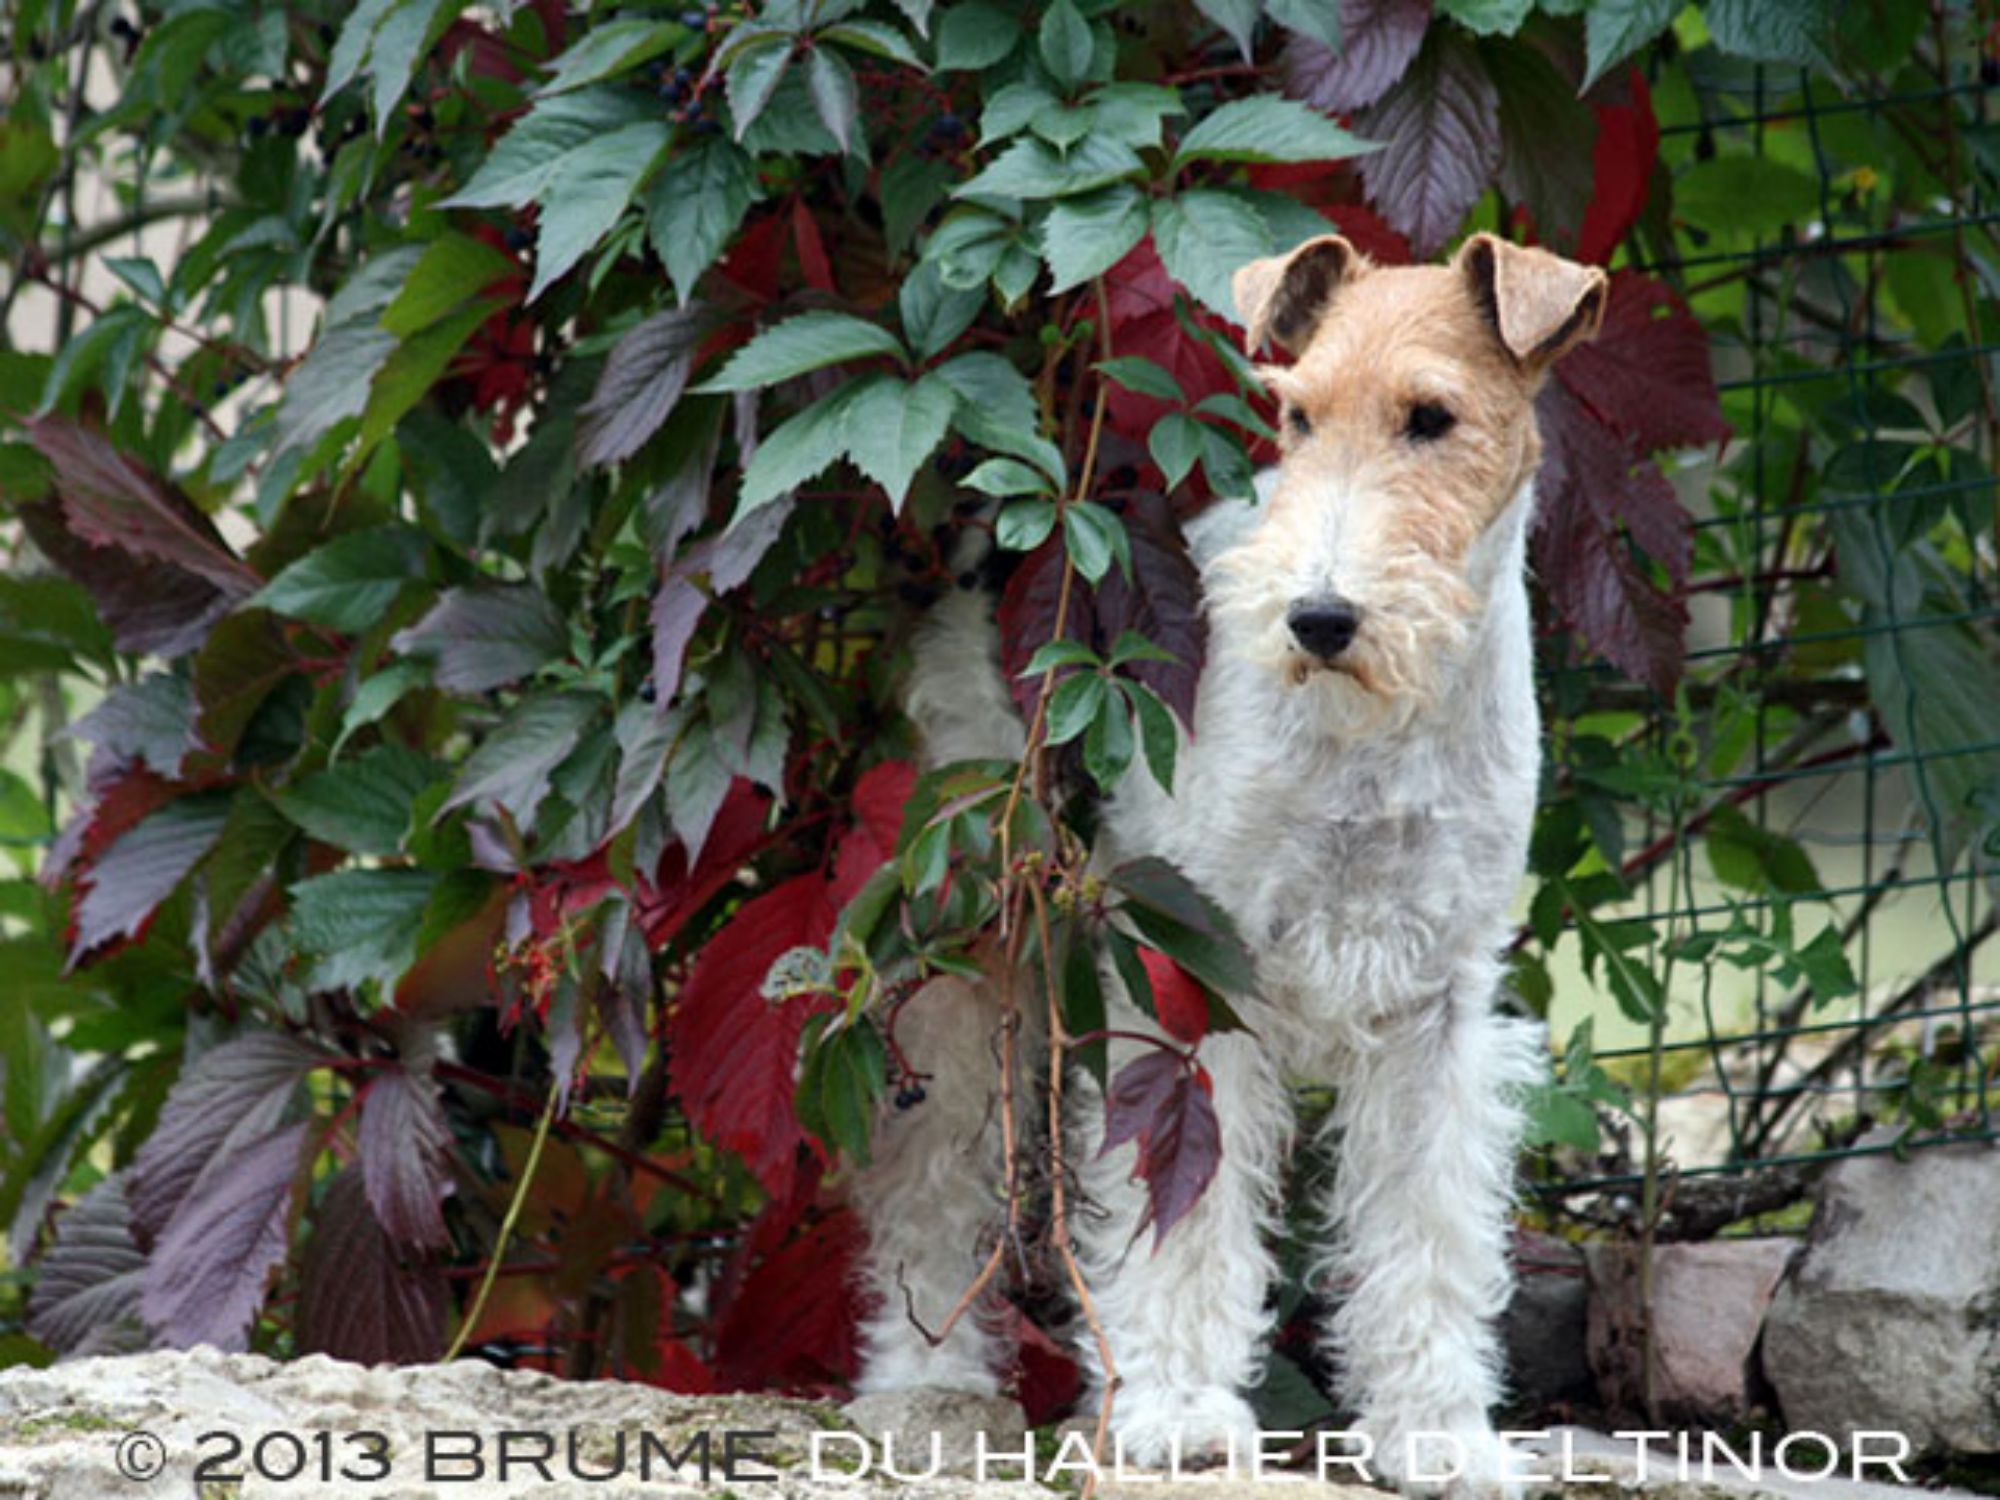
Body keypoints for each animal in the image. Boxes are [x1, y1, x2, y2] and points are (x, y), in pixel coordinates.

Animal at [850, 232, 1609, 1496]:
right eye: (1295, 417)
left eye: (1431, 419)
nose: (1316, 618)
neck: (1376, 730)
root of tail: (996, 543)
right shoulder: (1192, 982)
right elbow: (1182, 1220)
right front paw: (1178, 1413)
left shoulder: (1438, 1007)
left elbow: (1426, 1234)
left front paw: (1437, 1434)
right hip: (973, 947)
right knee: (931, 1179)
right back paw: (926, 1378)